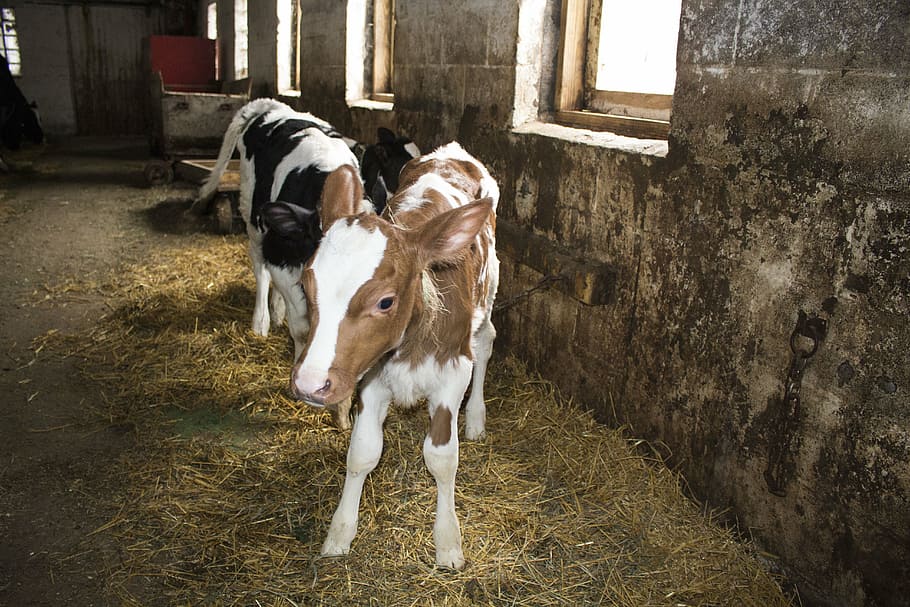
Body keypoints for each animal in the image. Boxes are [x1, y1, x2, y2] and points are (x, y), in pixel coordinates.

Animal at [289, 142, 499, 570]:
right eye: (305, 284)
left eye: (385, 301)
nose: (309, 383)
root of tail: (452, 151)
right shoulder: (371, 379)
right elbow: (362, 453)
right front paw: (340, 533)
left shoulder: (453, 373)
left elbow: (442, 457)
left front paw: (448, 542)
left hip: (490, 291)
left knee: (486, 342)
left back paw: (476, 418)